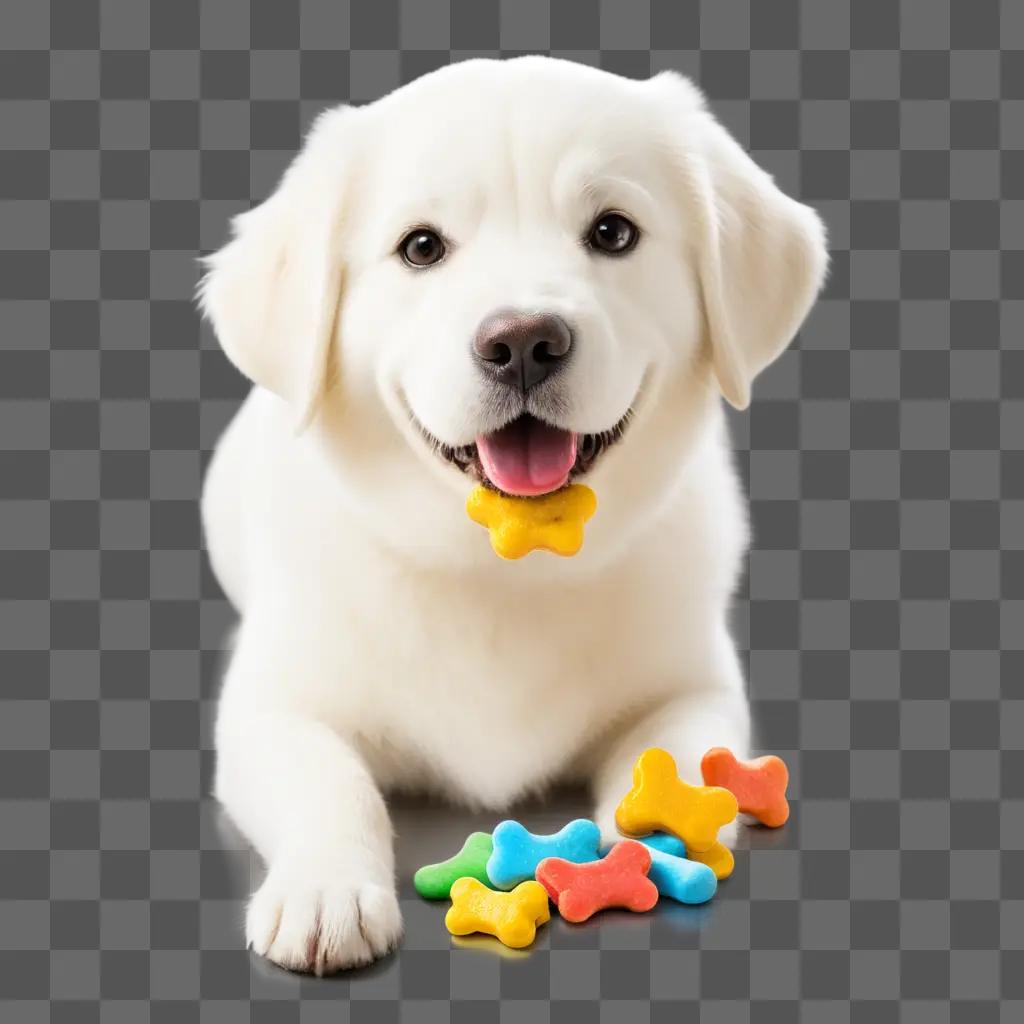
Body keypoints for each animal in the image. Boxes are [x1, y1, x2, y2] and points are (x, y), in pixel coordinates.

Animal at [197, 58, 823, 974]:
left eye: (613, 232)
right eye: (422, 247)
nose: (524, 340)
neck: (501, 563)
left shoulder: (693, 685)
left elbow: (674, 754)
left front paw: (657, 839)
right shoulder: (272, 708)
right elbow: (329, 782)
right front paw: (325, 892)